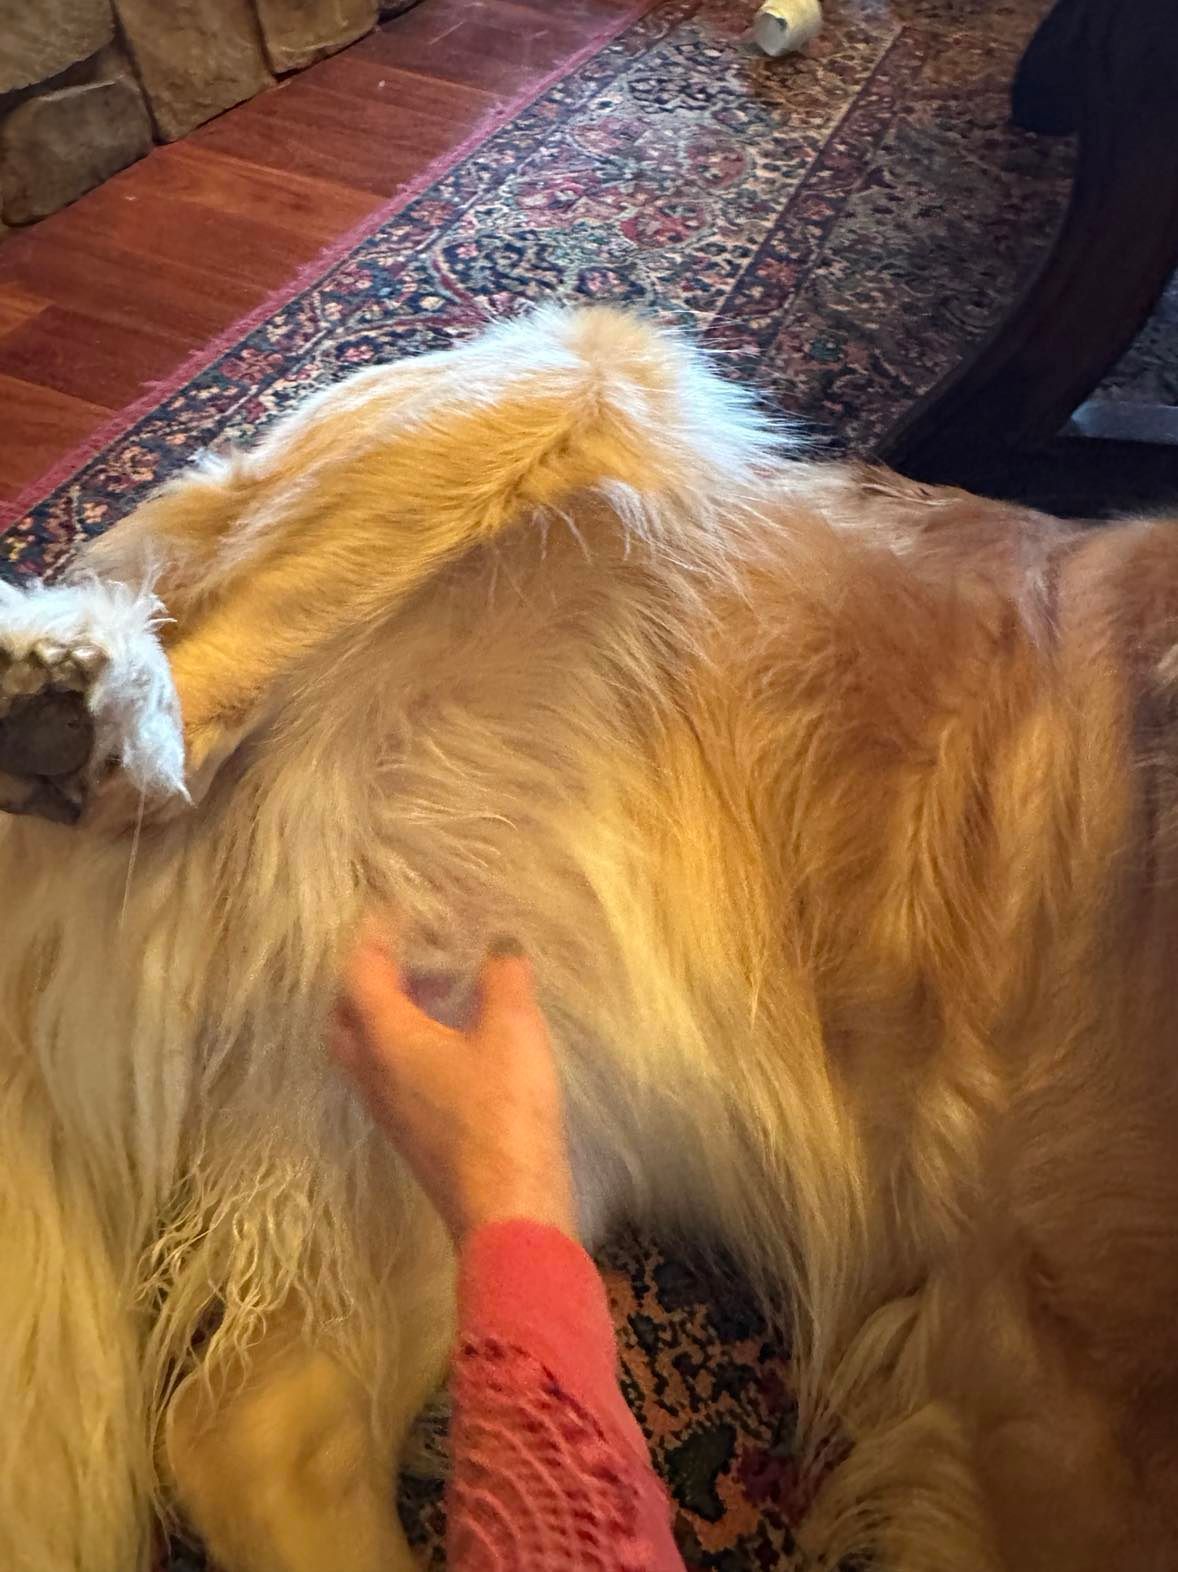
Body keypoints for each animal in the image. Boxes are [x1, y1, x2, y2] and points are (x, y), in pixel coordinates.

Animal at [2, 306, 1178, 1572]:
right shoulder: (1029, 1345)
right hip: (596, 371)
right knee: (180, 709)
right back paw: (84, 714)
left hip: (509, 1108)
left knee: (255, 1427)